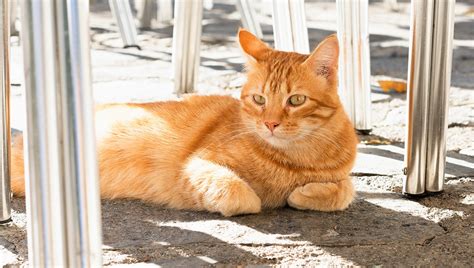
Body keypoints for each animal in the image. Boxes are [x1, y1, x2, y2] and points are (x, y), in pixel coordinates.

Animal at [9, 29, 358, 217]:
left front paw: (304, 194)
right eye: (259, 99)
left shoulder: (340, 175)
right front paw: (264, 197)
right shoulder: (196, 166)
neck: (295, 159)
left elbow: (345, 189)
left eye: (295, 100)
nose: (270, 124)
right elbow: (241, 194)